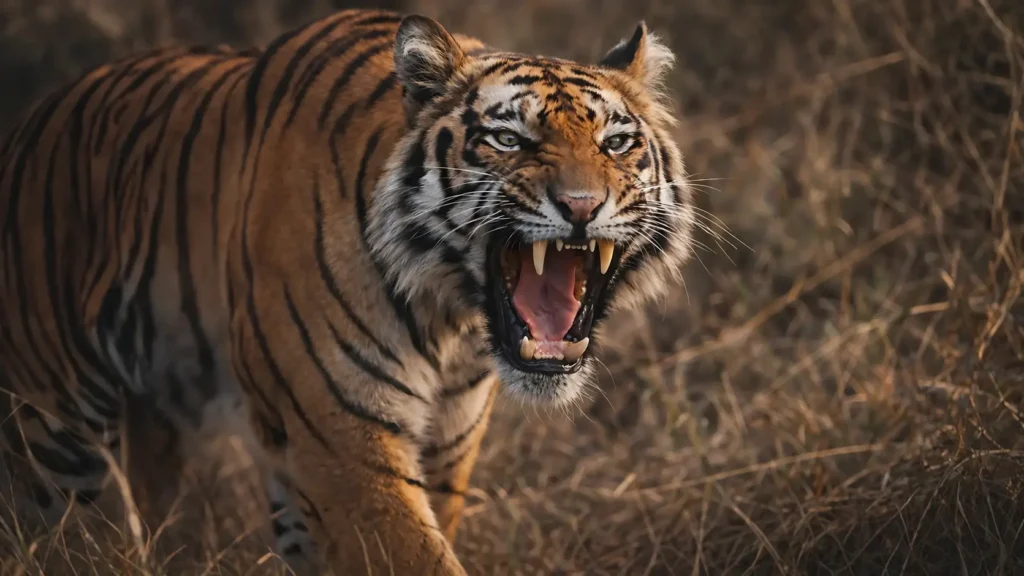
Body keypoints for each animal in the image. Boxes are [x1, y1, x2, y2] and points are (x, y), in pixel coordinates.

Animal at [0, 8, 695, 575]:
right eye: (507, 139)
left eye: (617, 143)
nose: (581, 206)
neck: (451, 319)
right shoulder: (343, 438)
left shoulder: (444, 449)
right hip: (57, 436)